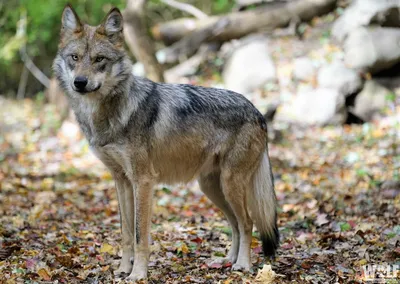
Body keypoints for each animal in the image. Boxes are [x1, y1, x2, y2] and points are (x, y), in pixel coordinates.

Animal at [53, 5, 278, 282]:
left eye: (99, 59)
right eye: (74, 57)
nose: (80, 82)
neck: (108, 114)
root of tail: (258, 111)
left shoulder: (143, 181)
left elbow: (140, 234)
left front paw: (138, 274)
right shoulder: (122, 181)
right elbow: (126, 232)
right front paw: (123, 269)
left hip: (229, 183)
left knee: (247, 222)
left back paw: (242, 265)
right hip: (212, 188)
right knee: (235, 224)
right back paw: (227, 260)